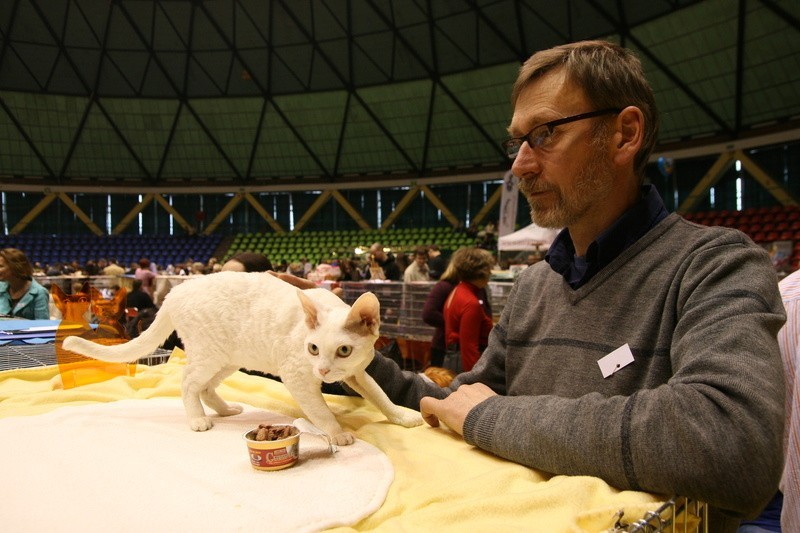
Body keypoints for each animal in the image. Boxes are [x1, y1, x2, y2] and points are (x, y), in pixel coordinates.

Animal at [62, 270, 424, 444]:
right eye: (312, 348)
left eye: (344, 350)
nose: (322, 371)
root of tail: (175, 290)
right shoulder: (297, 377)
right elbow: (321, 412)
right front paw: (337, 433)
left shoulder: (356, 373)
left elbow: (380, 395)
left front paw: (402, 417)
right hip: (208, 355)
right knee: (187, 383)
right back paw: (197, 419)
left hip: (228, 358)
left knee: (206, 387)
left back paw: (225, 410)